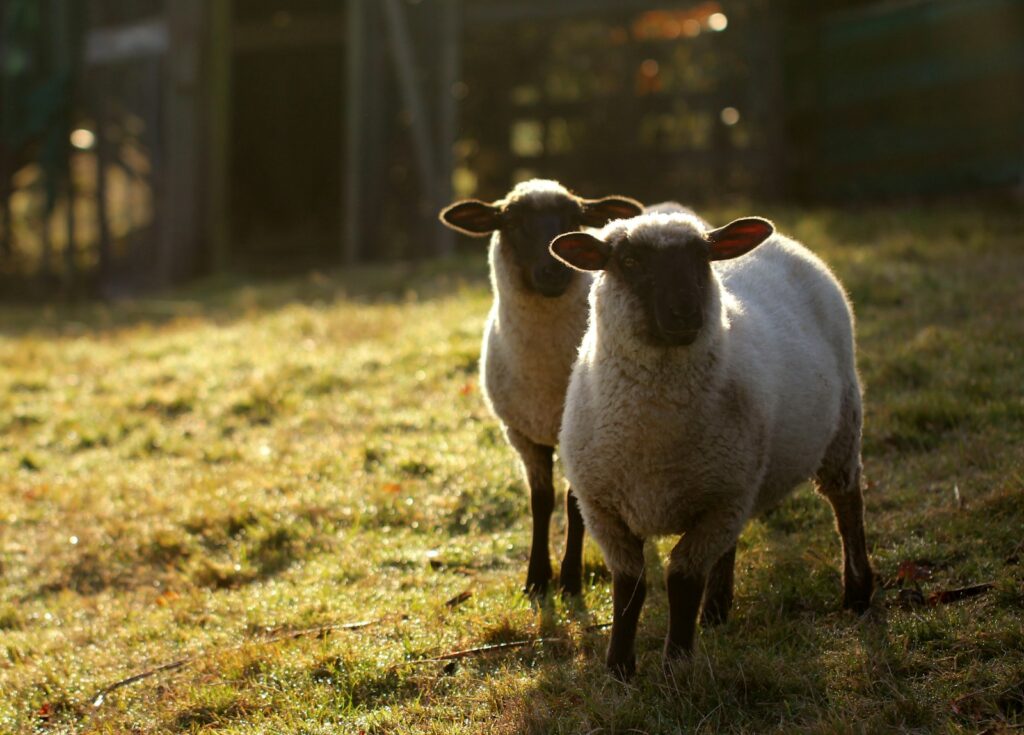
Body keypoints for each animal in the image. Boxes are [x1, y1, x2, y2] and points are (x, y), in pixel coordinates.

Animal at [439, 179, 643, 596]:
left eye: (573, 219)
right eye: (512, 223)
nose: (553, 271)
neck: (545, 379)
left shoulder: (577, 436)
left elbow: (573, 503)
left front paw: (570, 579)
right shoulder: (521, 434)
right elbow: (541, 501)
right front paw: (536, 579)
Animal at [549, 212, 874, 677]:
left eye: (702, 258)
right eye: (628, 261)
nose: (686, 313)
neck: (654, 432)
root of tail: (785, 242)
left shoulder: (720, 502)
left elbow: (682, 581)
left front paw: (676, 667)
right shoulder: (604, 509)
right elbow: (629, 586)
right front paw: (619, 668)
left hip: (841, 428)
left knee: (847, 506)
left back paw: (859, 593)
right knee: (730, 544)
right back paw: (717, 611)